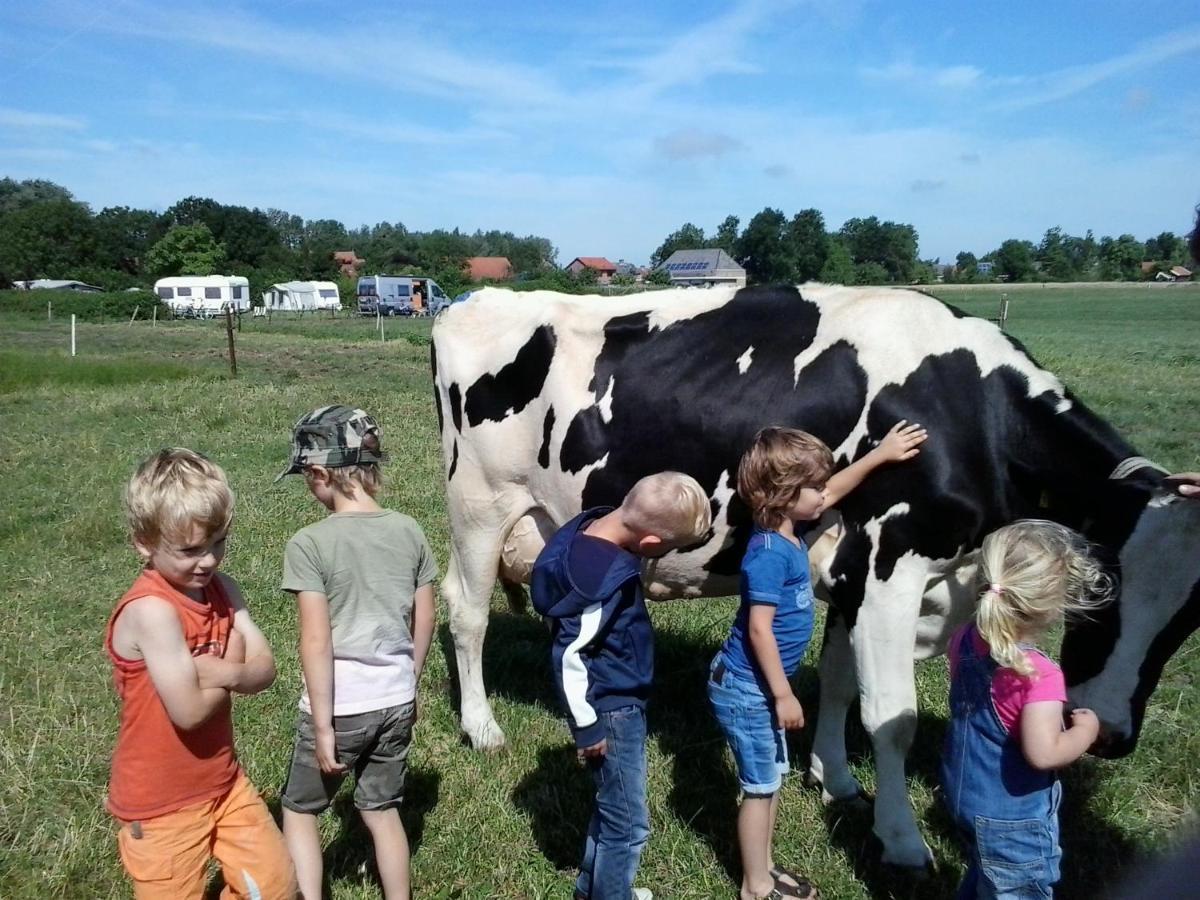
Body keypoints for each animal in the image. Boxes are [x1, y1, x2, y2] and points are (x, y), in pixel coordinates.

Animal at [432, 285, 1200, 868]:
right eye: (1101, 594)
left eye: (1189, 620)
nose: (1109, 736)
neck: (968, 413)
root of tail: (476, 300)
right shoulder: (893, 565)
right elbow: (892, 714)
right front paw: (901, 840)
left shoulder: (853, 572)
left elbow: (836, 680)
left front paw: (834, 775)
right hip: (479, 505)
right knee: (465, 612)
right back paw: (482, 726)